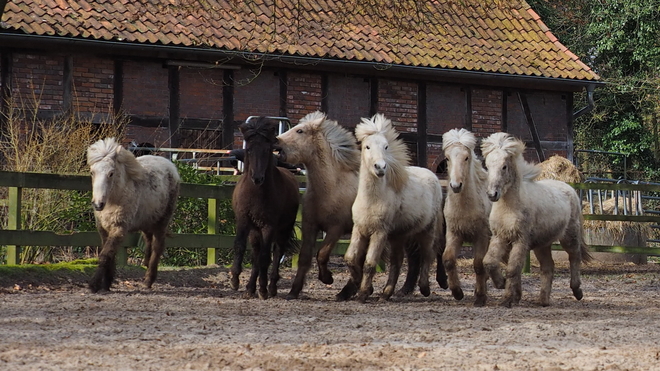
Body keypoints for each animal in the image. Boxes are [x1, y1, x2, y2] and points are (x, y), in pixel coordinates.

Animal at [87, 137, 182, 294]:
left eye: (111, 173)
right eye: (92, 172)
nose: (98, 204)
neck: (115, 199)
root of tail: (170, 165)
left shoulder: (119, 228)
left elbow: (105, 255)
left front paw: (94, 285)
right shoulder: (103, 229)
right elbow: (109, 255)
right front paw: (106, 283)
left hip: (162, 222)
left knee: (157, 247)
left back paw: (148, 280)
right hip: (146, 222)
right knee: (149, 243)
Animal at [228, 116, 298, 300]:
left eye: (267, 150)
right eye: (249, 150)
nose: (257, 178)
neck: (256, 193)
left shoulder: (269, 226)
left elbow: (266, 257)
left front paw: (263, 289)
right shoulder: (243, 221)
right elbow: (240, 247)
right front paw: (235, 279)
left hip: (283, 229)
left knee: (277, 252)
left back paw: (270, 287)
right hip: (255, 231)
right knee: (256, 255)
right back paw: (250, 288)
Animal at [340, 115, 444, 304]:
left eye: (386, 146)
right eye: (367, 146)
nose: (380, 167)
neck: (372, 199)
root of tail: (432, 175)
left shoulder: (379, 233)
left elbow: (369, 263)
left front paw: (363, 293)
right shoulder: (359, 229)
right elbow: (351, 258)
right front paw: (359, 284)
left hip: (426, 230)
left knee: (427, 255)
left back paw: (424, 288)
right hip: (398, 236)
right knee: (397, 261)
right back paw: (386, 293)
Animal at [440, 129, 492, 306]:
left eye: (466, 157)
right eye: (447, 158)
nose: (456, 186)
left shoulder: (482, 236)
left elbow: (478, 264)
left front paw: (480, 297)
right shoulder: (454, 234)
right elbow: (448, 260)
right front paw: (457, 292)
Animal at [480, 134, 592, 308]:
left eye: (504, 167)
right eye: (487, 166)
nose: (492, 194)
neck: (509, 208)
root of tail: (570, 189)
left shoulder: (521, 240)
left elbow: (513, 269)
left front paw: (507, 299)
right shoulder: (500, 237)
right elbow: (489, 262)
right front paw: (502, 284)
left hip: (570, 237)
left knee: (575, 257)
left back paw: (577, 291)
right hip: (542, 244)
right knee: (548, 267)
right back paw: (543, 300)